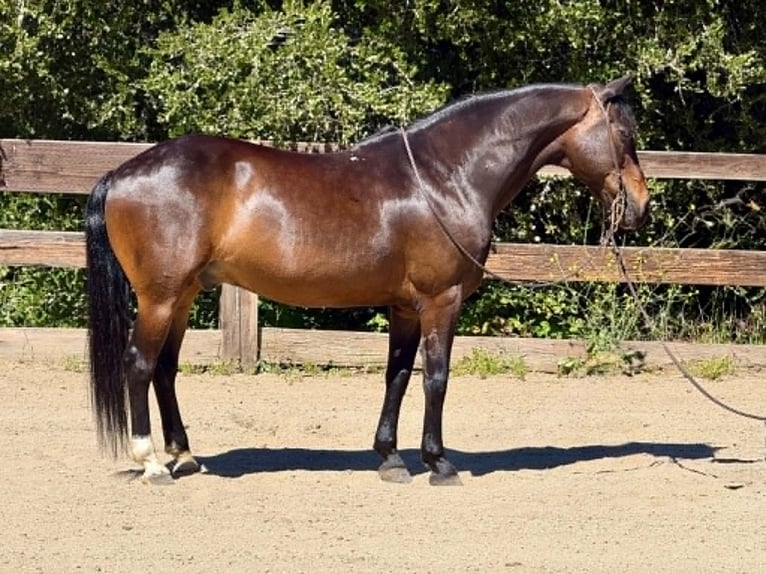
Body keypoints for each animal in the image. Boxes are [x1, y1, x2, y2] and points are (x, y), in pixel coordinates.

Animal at [85, 76, 650, 485]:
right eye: (625, 136)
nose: (641, 207)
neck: (446, 176)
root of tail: (122, 173)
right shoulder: (440, 302)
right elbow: (436, 377)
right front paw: (438, 463)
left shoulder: (404, 307)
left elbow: (396, 376)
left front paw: (391, 458)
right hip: (159, 298)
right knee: (140, 365)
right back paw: (152, 463)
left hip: (181, 296)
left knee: (165, 369)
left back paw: (183, 456)